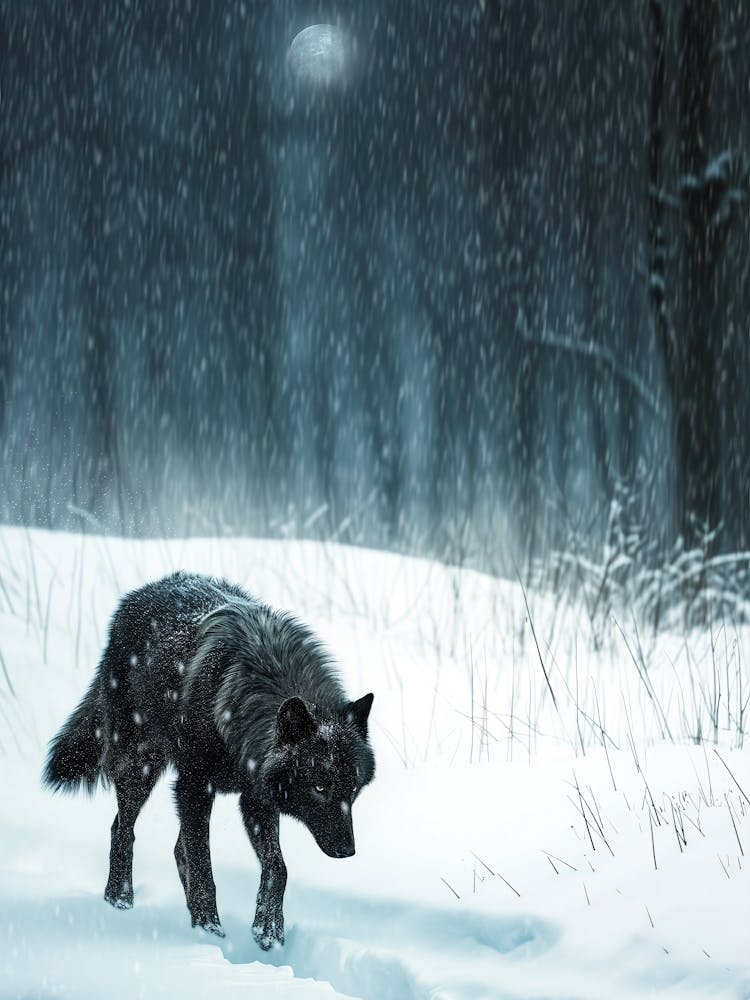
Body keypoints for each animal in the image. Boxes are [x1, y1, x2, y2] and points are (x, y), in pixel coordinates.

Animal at [43, 571, 375, 949]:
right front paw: (208, 930)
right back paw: (119, 900)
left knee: (175, 847)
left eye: (353, 791)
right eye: (319, 787)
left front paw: (268, 930)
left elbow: (278, 868)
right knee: (122, 828)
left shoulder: (256, 798)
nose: (347, 850)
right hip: (140, 765)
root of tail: (137, 595)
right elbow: (203, 865)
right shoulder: (194, 786)